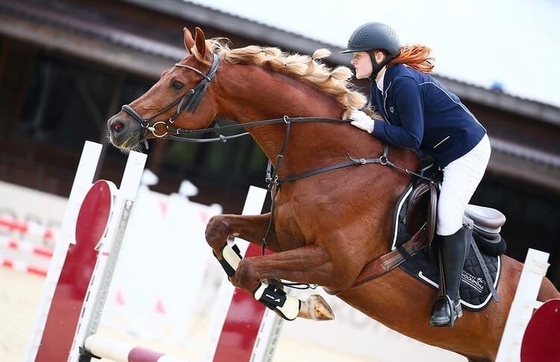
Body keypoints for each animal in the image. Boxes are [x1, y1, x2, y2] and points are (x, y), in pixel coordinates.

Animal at [106, 27, 560, 362]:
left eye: (177, 83)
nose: (117, 126)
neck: (330, 160)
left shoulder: (335, 265)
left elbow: (250, 271)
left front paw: (293, 302)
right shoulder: (284, 235)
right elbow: (218, 229)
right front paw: (290, 297)